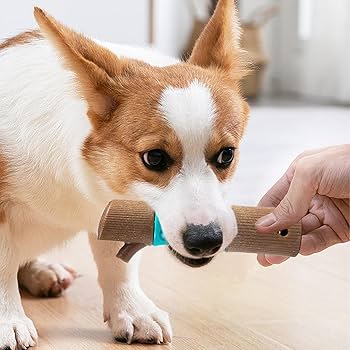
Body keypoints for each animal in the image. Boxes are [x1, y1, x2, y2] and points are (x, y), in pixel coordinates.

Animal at [0, 0, 249, 348]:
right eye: (155, 158)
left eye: (226, 155)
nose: (207, 240)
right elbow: (3, 267)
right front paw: (7, 320)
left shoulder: (116, 207)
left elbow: (119, 264)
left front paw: (133, 311)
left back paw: (43, 271)